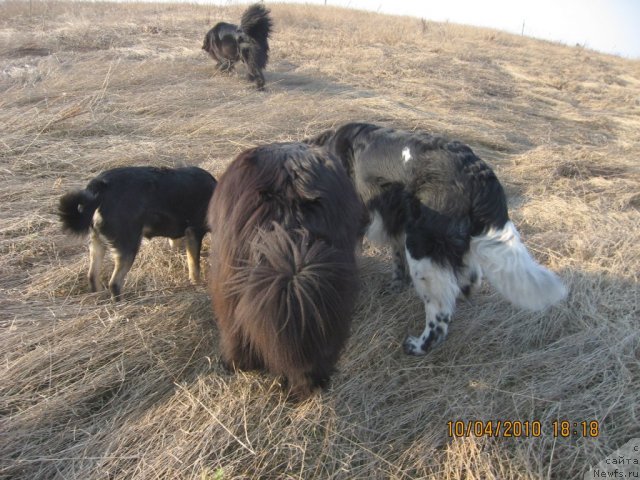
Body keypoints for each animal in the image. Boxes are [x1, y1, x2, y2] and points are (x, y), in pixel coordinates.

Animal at [58, 167, 218, 298]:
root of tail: (100, 186)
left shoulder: (178, 236)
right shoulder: (194, 232)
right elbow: (194, 267)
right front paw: (197, 285)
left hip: (97, 244)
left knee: (92, 276)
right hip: (128, 246)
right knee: (114, 284)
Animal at [308, 123, 568, 356]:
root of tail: (479, 174)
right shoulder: (397, 219)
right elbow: (396, 257)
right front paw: (395, 285)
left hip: (422, 245)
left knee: (440, 313)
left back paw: (418, 346)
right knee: (470, 277)